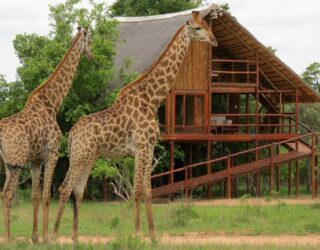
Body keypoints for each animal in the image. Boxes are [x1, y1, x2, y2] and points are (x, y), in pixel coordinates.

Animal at [0, 26, 92, 242]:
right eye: (90, 41)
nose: (91, 55)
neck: (53, 103)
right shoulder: (52, 154)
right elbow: (47, 195)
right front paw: (47, 238)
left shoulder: (35, 160)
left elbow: (35, 195)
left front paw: (35, 238)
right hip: (16, 161)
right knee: (7, 193)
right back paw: (7, 239)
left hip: (8, 163)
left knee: (3, 193)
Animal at [52, 10, 218, 241]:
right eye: (197, 28)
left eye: (206, 25)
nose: (214, 40)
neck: (152, 99)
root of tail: (72, 134)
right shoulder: (141, 147)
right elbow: (137, 189)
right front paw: (137, 233)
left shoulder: (149, 148)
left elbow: (148, 190)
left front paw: (153, 236)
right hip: (80, 155)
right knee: (65, 187)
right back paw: (53, 236)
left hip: (89, 157)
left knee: (77, 190)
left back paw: (75, 239)